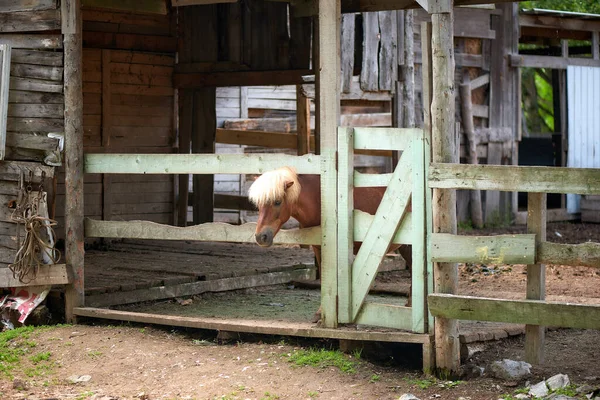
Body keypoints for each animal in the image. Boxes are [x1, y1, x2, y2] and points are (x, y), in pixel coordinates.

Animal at [248, 167, 412, 320]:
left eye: (277, 202)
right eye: (259, 205)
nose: (260, 237)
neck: (318, 200)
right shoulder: (318, 248)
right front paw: (320, 313)